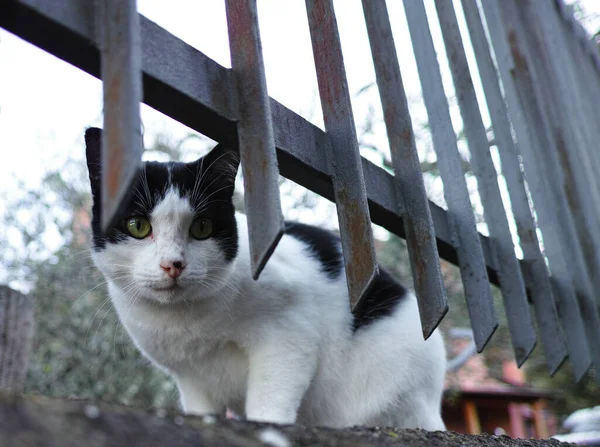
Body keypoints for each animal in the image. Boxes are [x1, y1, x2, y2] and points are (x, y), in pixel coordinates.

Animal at [86, 128, 448, 428]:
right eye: (138, 226)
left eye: (201, 227)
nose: (173, 264)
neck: (186, 323)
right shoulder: (190, 379)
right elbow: (201, 409)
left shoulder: (289, 336)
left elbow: (269, 401)